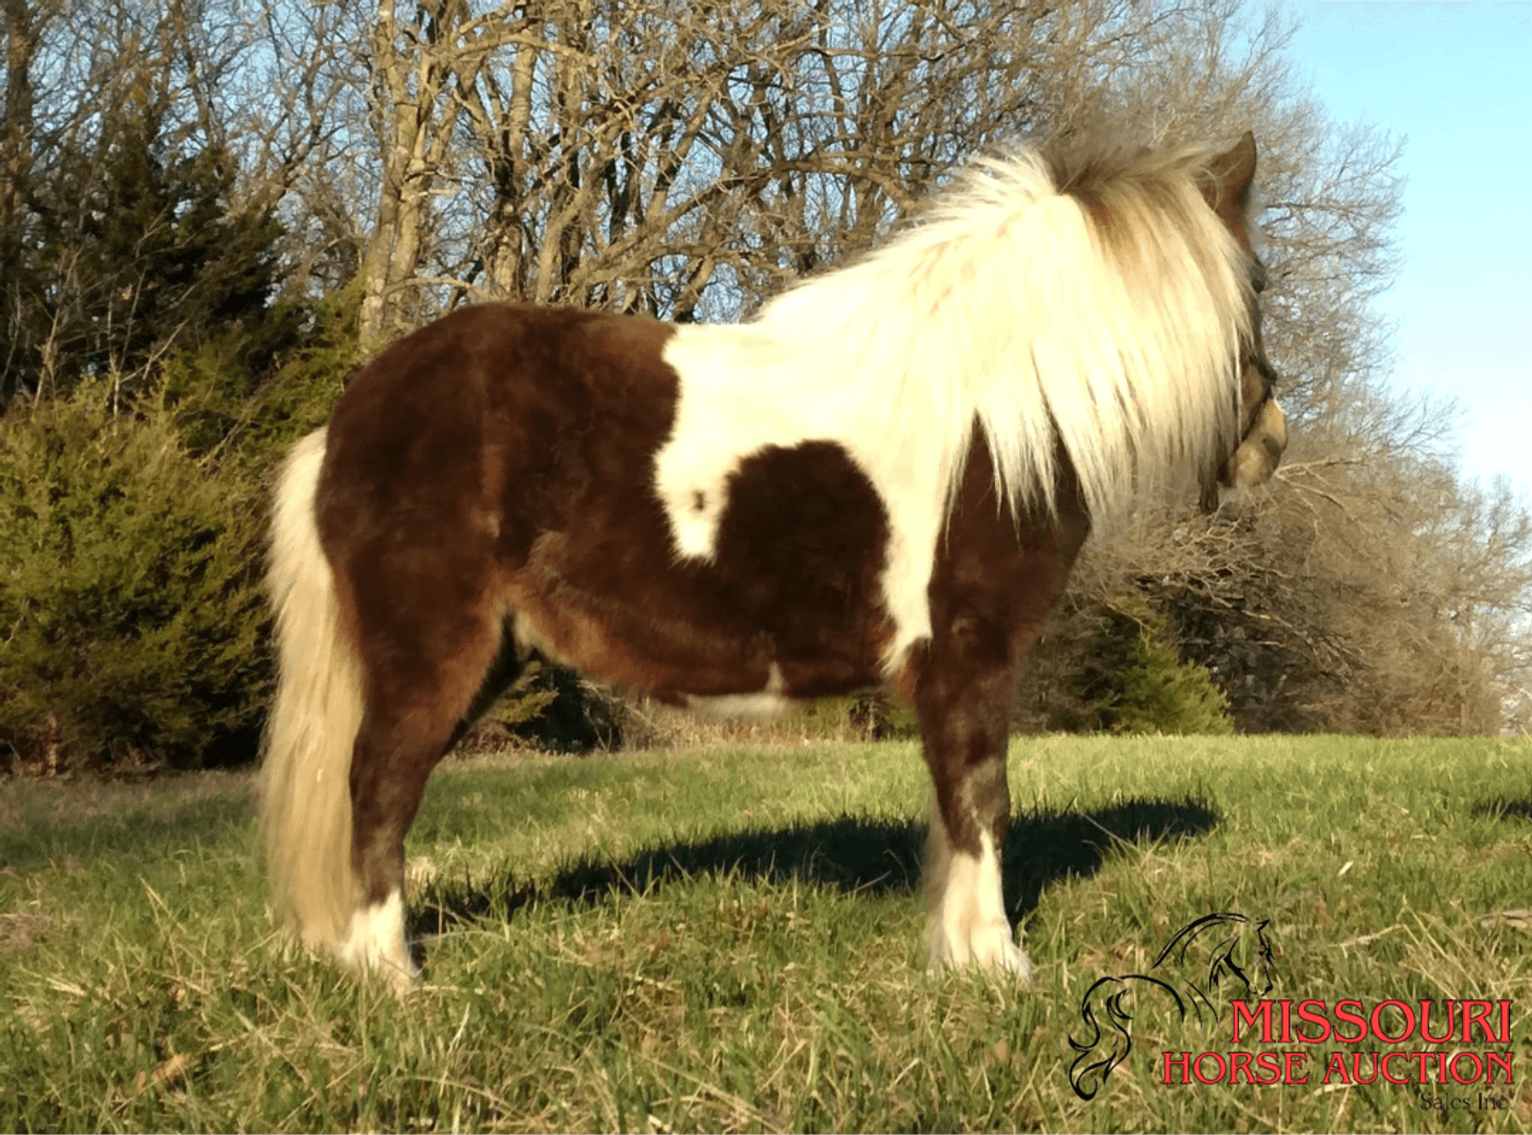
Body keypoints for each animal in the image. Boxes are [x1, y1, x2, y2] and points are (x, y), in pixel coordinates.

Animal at [259, 129, 1287, 988]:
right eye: (1259, 286)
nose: (1270, 442)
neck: (993, 415)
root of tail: (348, 418)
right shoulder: (972, 659)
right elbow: (983, 803)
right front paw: (995, 962)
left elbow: (958, 809)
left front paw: (959, 955)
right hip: (435, 651)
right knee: (378, 787)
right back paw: (392, 977)